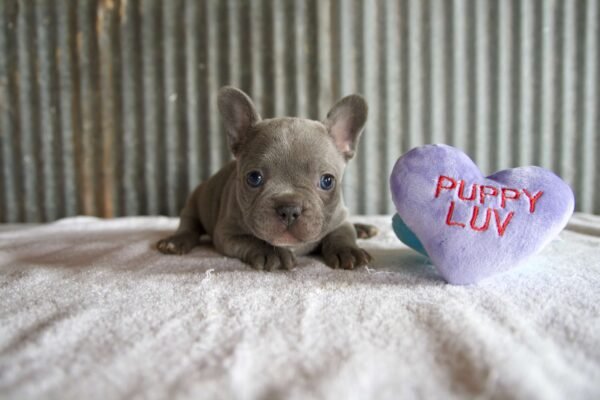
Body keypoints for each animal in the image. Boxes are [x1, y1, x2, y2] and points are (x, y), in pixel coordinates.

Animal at [157, 86, 378, 270]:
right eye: (254, 178)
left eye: (327, 181)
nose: (289, 209)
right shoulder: (227, 233)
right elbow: (252, 240)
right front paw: (272, 253)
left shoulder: (340, 218)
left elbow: (342, 233)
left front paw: (348, 251)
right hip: (195, 201)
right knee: (189, 224)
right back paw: (175, 242)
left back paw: (363, 228)